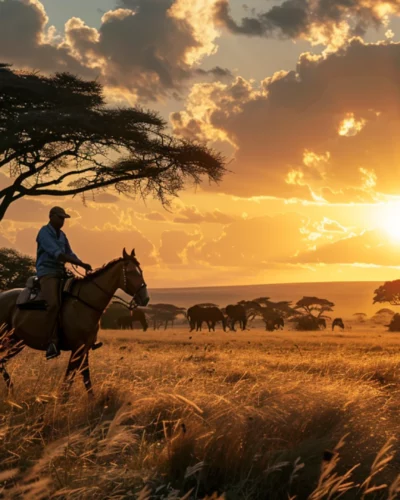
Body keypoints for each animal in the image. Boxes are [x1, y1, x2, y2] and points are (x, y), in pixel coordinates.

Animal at [0, 249, 148, 394]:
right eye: (131, 271)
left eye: (141, 270)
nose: (145, 298)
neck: (85, 302)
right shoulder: (77, 348)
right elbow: (69, 378)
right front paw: (62, 399)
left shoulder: (85, 348)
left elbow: (85, 377)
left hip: (16, 341)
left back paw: (11, 388)